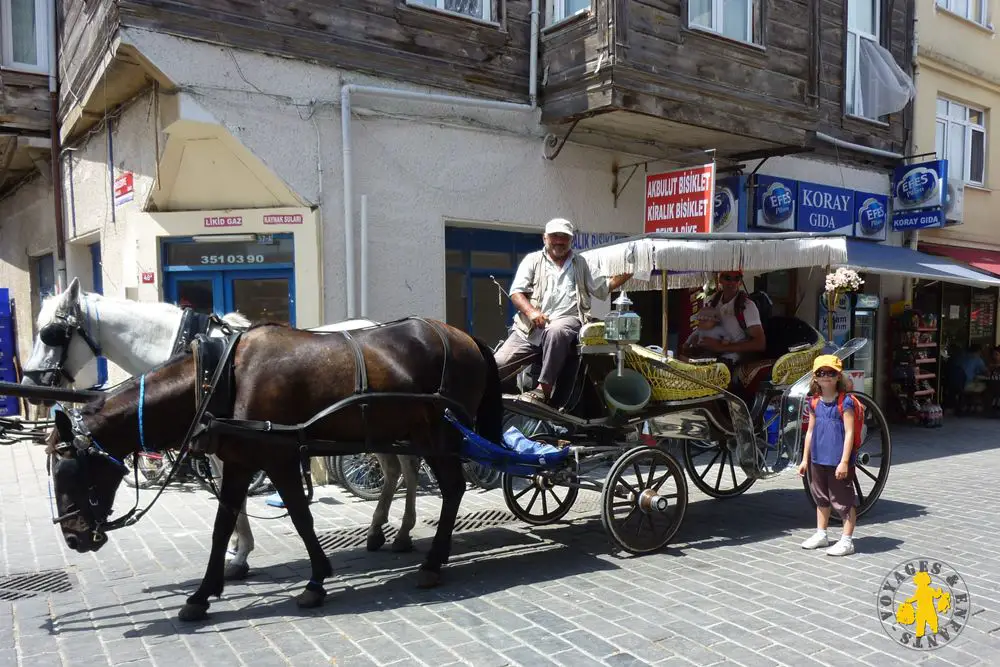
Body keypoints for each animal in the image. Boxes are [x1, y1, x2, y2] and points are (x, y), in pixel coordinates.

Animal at [22, 276, 422, 580]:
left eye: (51, 333)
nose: (30, 382)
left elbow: (234, 497)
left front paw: (239, 553)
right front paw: (236, 547)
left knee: (407, 469)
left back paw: (402, 532)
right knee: (394, 470)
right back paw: (380, 530)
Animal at [45, 318, 500, 620]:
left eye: (68, 469)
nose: (73, 537)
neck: (219, 379)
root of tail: (465, 336)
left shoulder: (277, 457)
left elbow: (300, 517)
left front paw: (316, 582)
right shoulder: (238, 461)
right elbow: (222, 525)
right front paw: (204, 593)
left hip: (440, 434)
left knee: (451, 488)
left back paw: (431, 562)